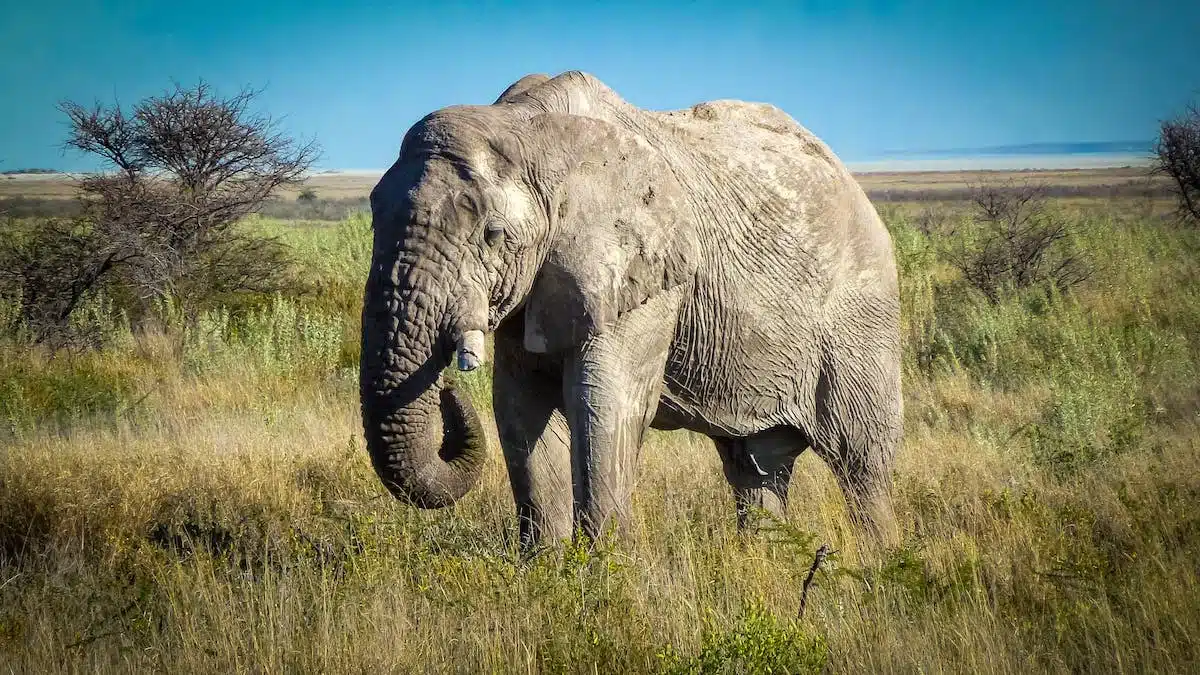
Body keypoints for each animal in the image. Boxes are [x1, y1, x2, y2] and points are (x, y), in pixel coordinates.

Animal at [360, 70, 902, 550]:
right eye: (372, 222)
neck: (531, 129)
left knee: (862, 463)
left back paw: (879, 564)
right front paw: (545, 568)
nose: (448, 390)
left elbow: (603, 403)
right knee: (755, 467)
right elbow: (519, 407)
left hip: (861, 318)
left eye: (494, 234)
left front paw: (607, 575)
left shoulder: (648, 278)